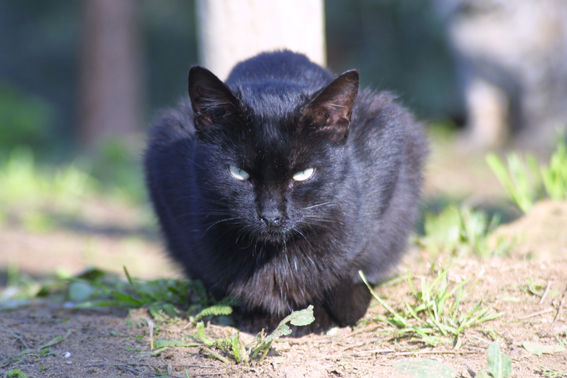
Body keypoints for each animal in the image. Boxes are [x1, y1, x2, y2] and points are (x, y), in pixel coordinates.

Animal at [144, 50, 428, 330]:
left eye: (302, 174)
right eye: (239, 173)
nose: (271, 216)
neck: (275, 258)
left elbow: (355, 269)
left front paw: (323, 312)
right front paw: (262, 314)